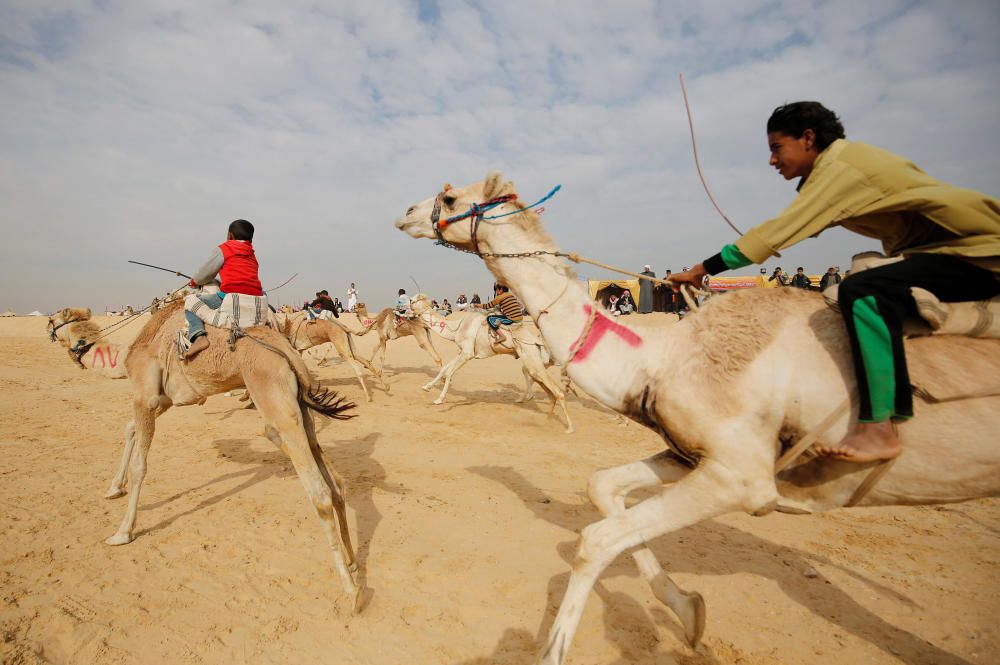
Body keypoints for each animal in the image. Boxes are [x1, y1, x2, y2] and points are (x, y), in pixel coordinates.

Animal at [97, 300, 368, 612]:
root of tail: (287, 350)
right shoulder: (164, 399)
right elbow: (130, 429)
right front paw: (113, 488)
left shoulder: (146, 397)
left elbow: (140, 466)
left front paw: (123, 531)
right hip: (298, 405)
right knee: (334, 481)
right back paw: (351, 559)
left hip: (273, 397)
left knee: (319, 492)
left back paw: (351, 590)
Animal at [410, 294, 576, 434]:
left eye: (414, 300)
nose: (406, 306)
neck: (457, 327)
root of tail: (537, 340)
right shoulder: (462, 351)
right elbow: (444, 368)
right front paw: (427, 387)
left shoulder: (468, 354)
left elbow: (449, 372)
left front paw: (439, 399)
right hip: (534, 361)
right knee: (544, 386)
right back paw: (545, 419)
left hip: (532, 358)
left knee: (557, 392)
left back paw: (569, 427)